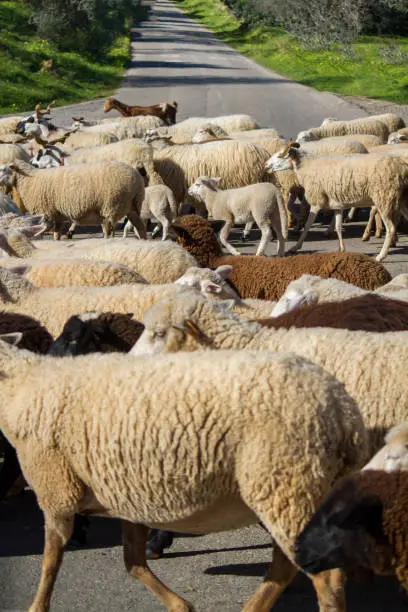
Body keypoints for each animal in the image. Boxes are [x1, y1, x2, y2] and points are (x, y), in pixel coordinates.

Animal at [0, 160, 146, 239]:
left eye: (4, 170)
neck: (30, 180)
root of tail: (137, 180)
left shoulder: (47, 212)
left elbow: (45, 228)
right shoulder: (57, 215)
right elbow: (56, 234)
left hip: (110, 207)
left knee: (109, 231)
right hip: (133, 207)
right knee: (140, 228)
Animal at [0, 334, 368, 612]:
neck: (19, 385)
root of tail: (343, 411)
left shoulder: (55, 489)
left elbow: (50, 561)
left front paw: (37, 606)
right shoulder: (128, 495)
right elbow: (133, 561)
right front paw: (181, 606)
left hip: (287, 484)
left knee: (324, 577)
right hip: (297, 487)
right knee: (291, 565)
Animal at [266, 142, 408, 262]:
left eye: (280, 156)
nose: (266, 165)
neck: (306, 166)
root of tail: (402, 168)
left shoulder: (317, 201)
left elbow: (307, 225)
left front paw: (296, 247)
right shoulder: (337, 204)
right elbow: (338, 226)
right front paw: (341, 249)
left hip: (384, 198)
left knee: (391, 228)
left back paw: (380, 256)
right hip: (401, 199)